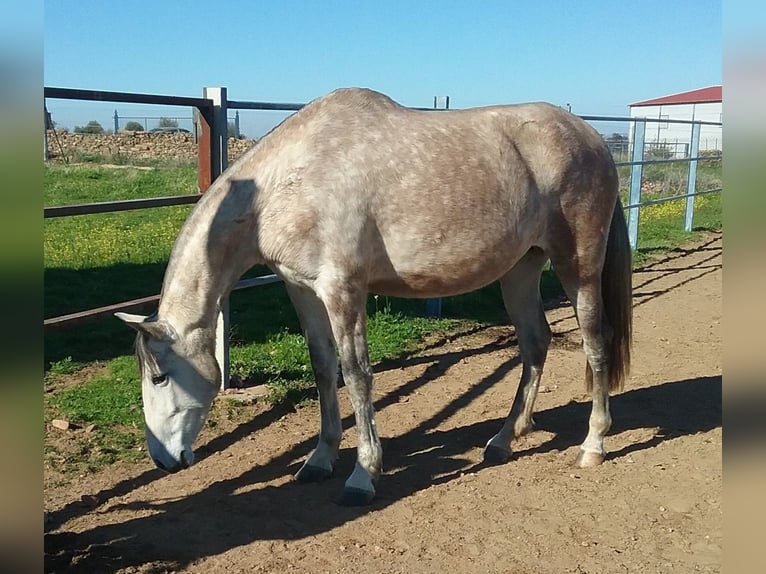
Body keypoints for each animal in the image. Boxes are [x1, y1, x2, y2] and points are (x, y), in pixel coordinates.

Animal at [117, 86, 632, 508]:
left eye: (160, 376)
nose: (163, 460)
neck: (291, 183)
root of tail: (593, 140)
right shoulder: (302, 289)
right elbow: (324, 369)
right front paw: (319, 460)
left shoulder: (343, 289)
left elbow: (357, 375)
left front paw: (363, 476)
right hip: (521, 270)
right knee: (535, 343)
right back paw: (505, 439)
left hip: (578, 266)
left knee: (595, 341)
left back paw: (593, 445)